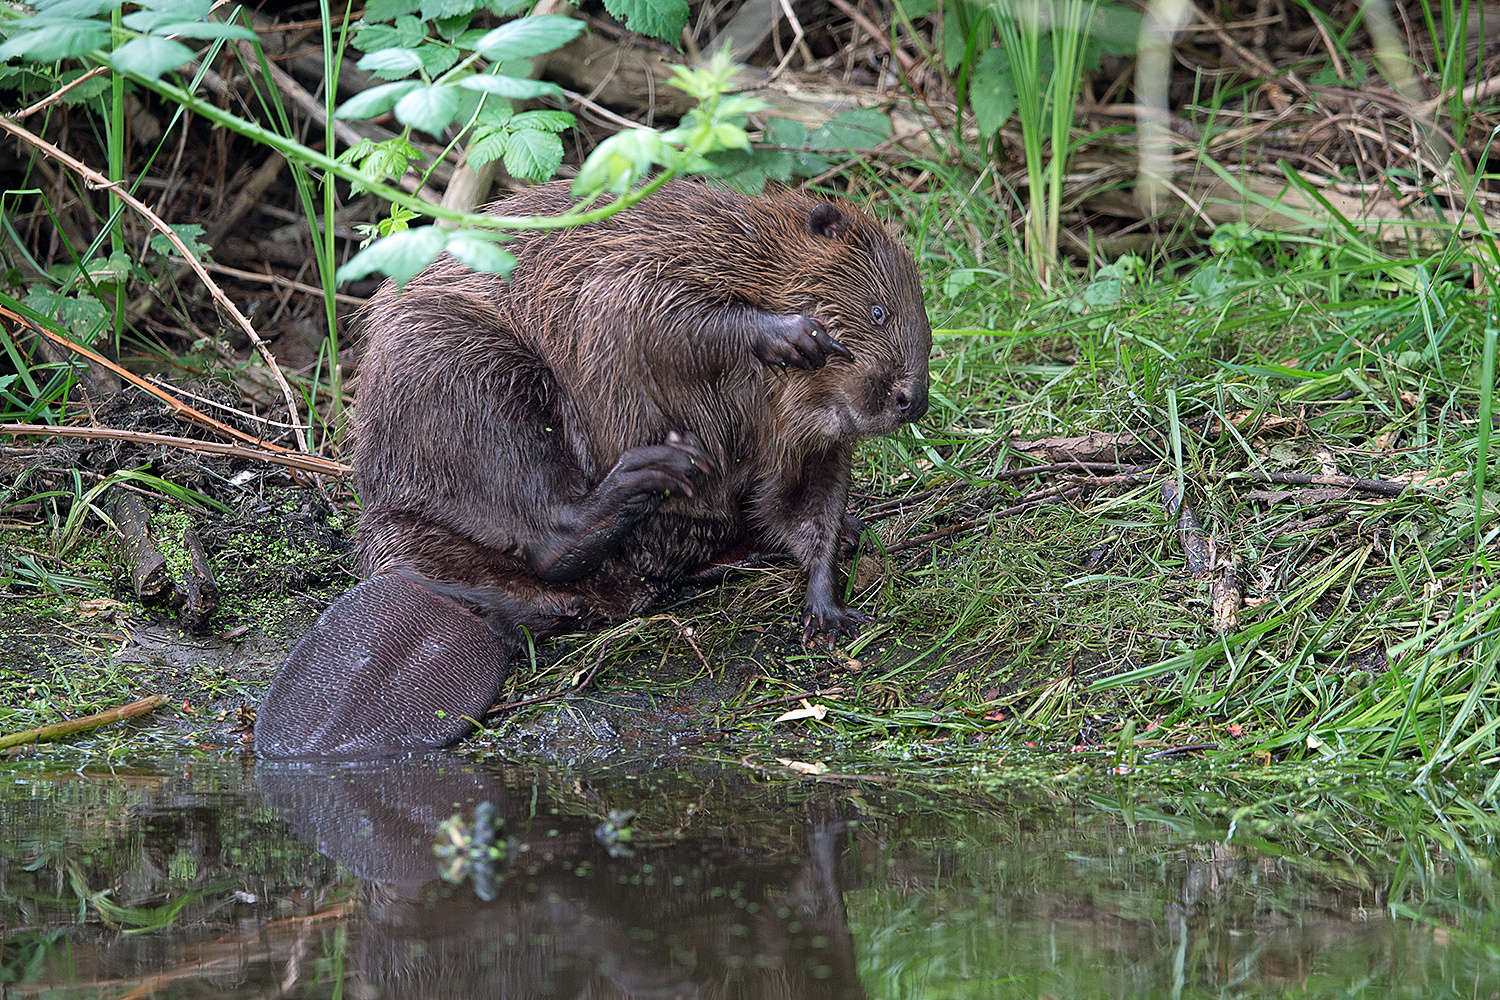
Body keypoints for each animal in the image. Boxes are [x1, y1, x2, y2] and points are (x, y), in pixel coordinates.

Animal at [264, 179, 930, 758]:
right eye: (876, 312)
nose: (912, 399)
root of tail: (430, 589)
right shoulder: (647, 260)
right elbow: (659, 315)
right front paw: (793, 333)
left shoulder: (816, 443)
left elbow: (811, 505)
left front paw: (831, 609)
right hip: (465, 373)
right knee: (544, 530)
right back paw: (656, 469)